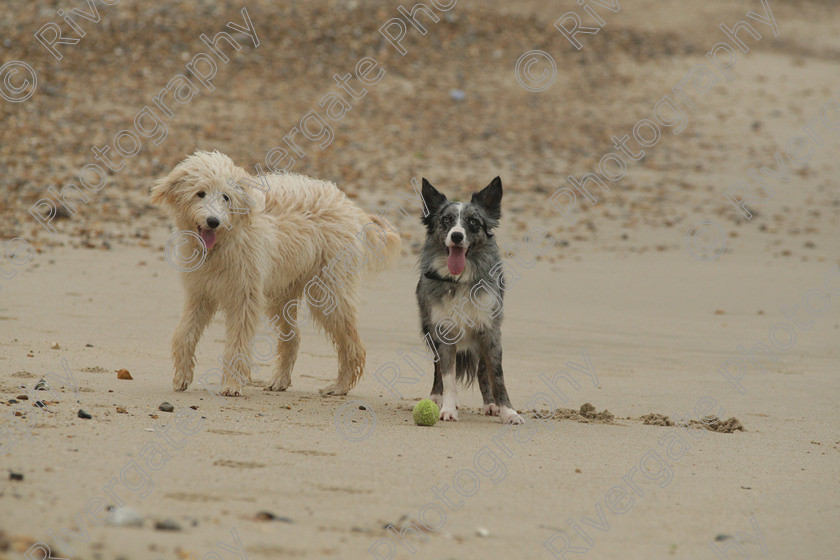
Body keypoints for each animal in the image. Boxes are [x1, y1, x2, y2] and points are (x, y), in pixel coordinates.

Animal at [153, 150, 402, 398]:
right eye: (200, 193)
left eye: (226, 197)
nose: (214, 221)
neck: (226, 240)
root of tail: (350, 207)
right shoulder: (200, 294)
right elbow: (184, 334)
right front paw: (182, 377)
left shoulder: (244, 297)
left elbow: (237, 343)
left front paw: (232, 384)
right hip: (282, 294)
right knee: (293, 338)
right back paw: (280, 380)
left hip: (328, 291)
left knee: (351, 342)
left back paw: (340, 386)